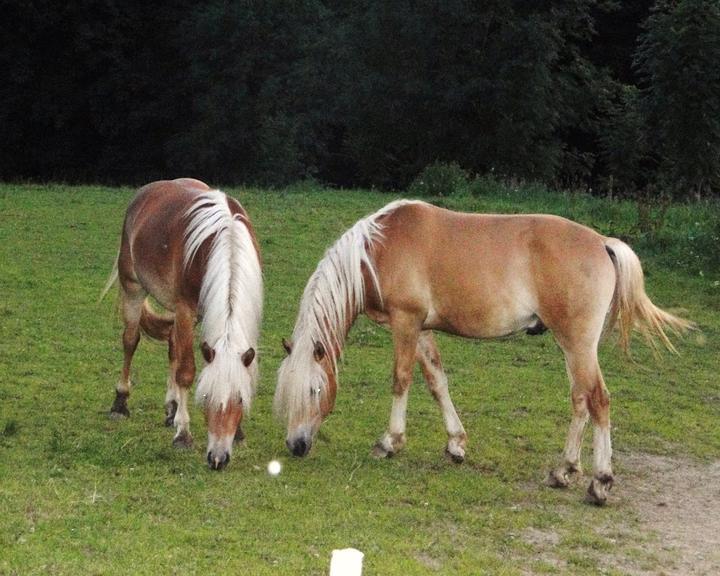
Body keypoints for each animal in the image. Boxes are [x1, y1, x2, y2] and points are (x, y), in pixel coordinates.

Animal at [104, 178, 264, 470]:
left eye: (239, 399)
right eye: (207, 398)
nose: (218, 459)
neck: (224, 246)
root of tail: (148, 191)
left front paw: (238, 433)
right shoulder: (185, 311)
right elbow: (187, 372)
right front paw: (183, 434)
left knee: (172, 347)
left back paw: (171, 408)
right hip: (133, 286)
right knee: (131, 341)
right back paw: (120, 403)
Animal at [276, 199, 692, 504]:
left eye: (314, 390)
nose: (296, 446)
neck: (380, 248)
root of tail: (602, 243)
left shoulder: (405, 323)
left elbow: (401, 380)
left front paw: (389, 442)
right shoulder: (422, 330)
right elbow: (437, 382)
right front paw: (455, 444)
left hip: (578, 345)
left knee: (598, 401)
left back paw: (599, 482)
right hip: (574, 348)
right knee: (580, 401)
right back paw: (564, 471)